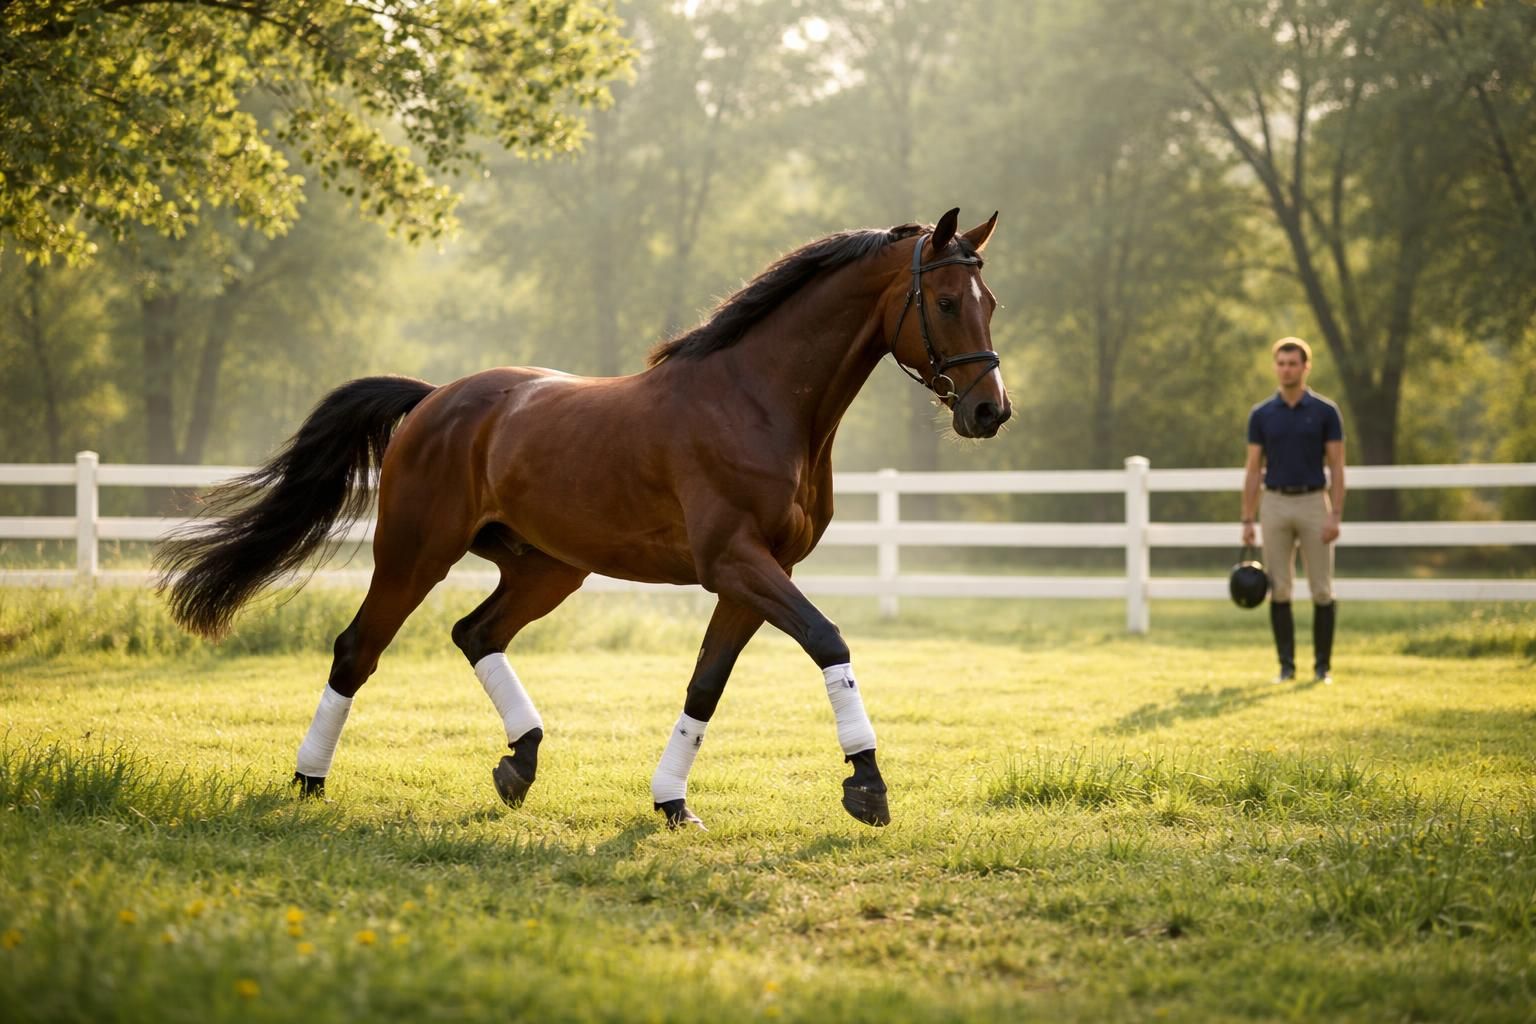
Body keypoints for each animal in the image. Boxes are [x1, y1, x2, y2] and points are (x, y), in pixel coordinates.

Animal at [155, 207, 1011, 830]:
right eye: (943, 302)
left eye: (990, 303)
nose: (990, 412)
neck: (759, 400)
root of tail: (434, 399)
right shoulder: (737, 563)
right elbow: (830, 640)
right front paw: (867, 785)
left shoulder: (755, 577)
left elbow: (706, 686)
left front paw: (672, 803)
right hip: (414, 552)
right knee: (357, 650)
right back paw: (310, 781)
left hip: (547, 567)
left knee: (475, 633)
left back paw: (519, 762)